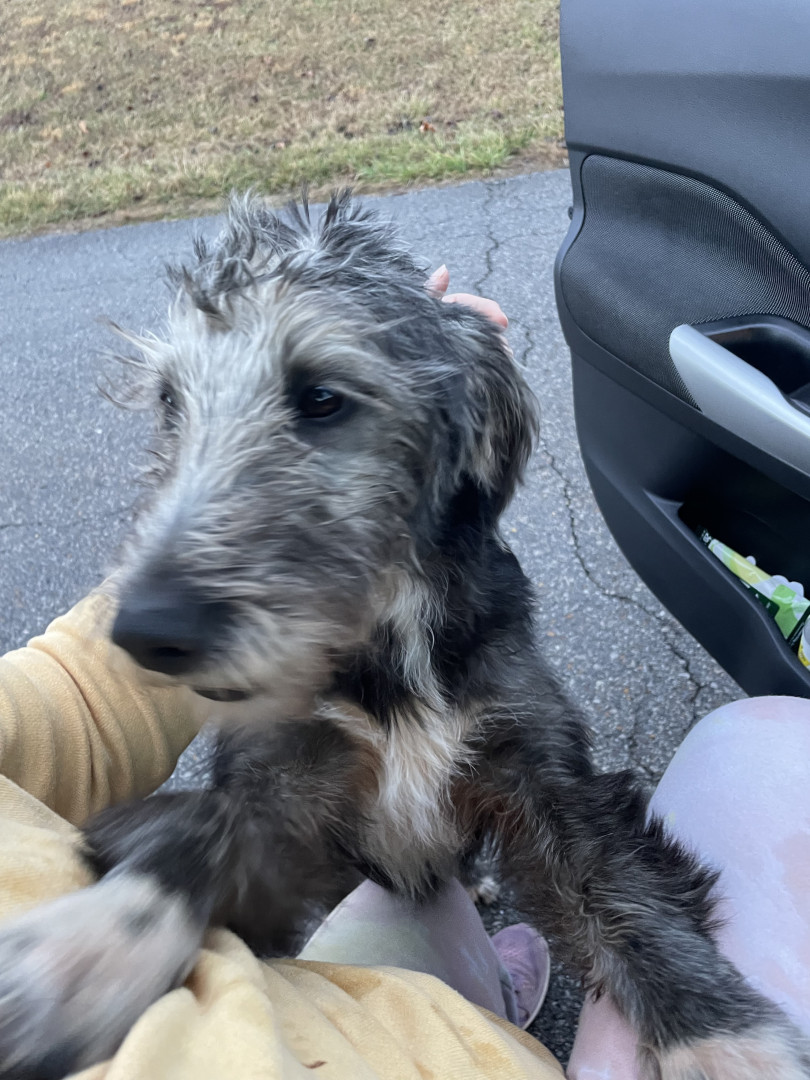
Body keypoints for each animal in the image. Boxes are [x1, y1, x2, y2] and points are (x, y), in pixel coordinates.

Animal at [0, 193, 807, 1080]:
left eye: (321, 398)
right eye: (172, 403)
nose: (149, 631)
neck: (386, 651)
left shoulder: (547, 778)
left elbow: (624, 893)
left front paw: (720, 1040)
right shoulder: (280, 805)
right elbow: (191, 837)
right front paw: (83, 953)